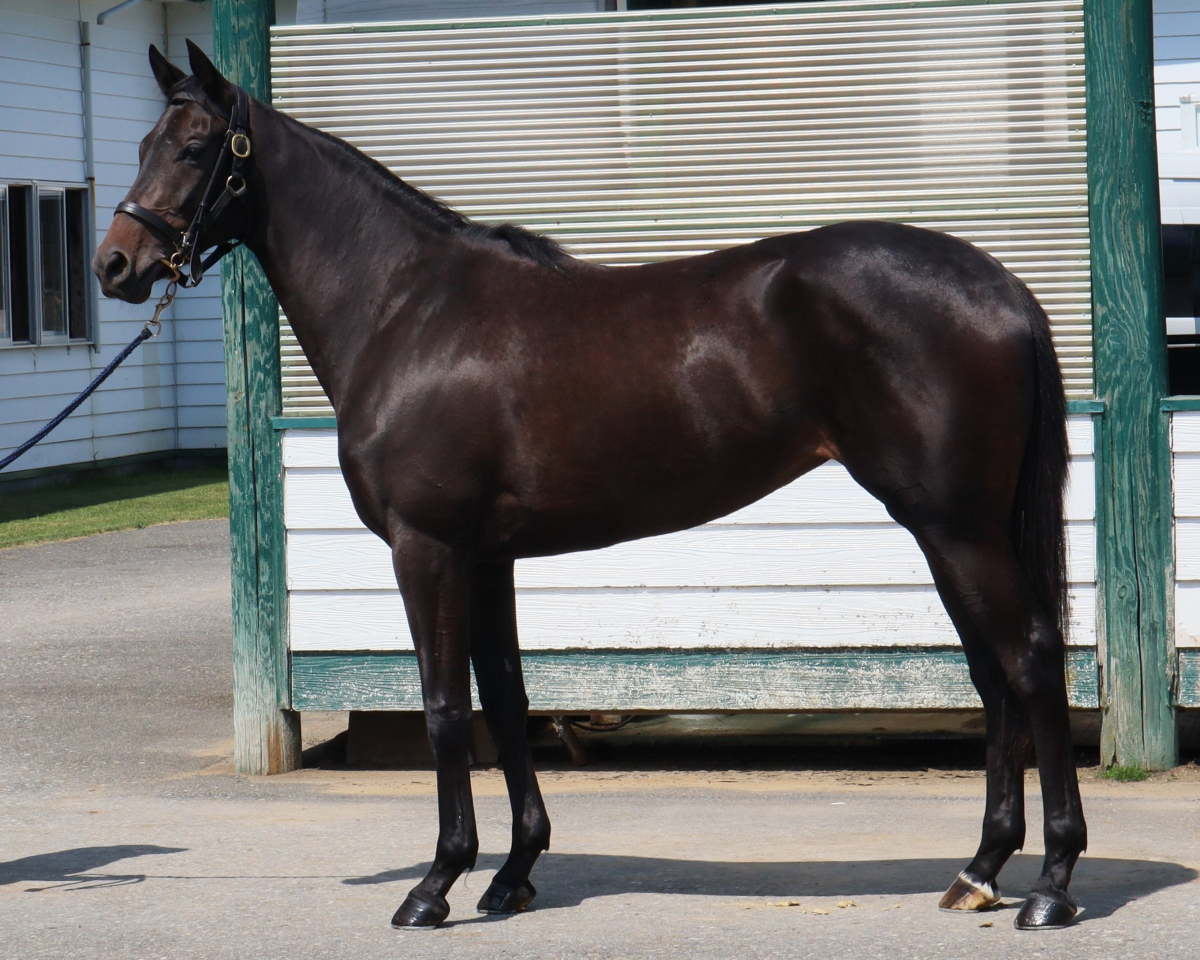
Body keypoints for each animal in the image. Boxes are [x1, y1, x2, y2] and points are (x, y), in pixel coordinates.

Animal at [94, 42, 1086, 931]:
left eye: (194, 146)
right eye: (142, 141)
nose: (115, 265)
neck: (406, 309)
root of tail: (1000, 286)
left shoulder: (429, 549)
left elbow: (445, 710)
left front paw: (435, 886)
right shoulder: (487, 558)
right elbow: (506, 701)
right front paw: (512, 875)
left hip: (956, 525)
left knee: (1032, 660)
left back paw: (1050, 884)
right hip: (952, 528)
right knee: (994, 674)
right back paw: (980, 870)